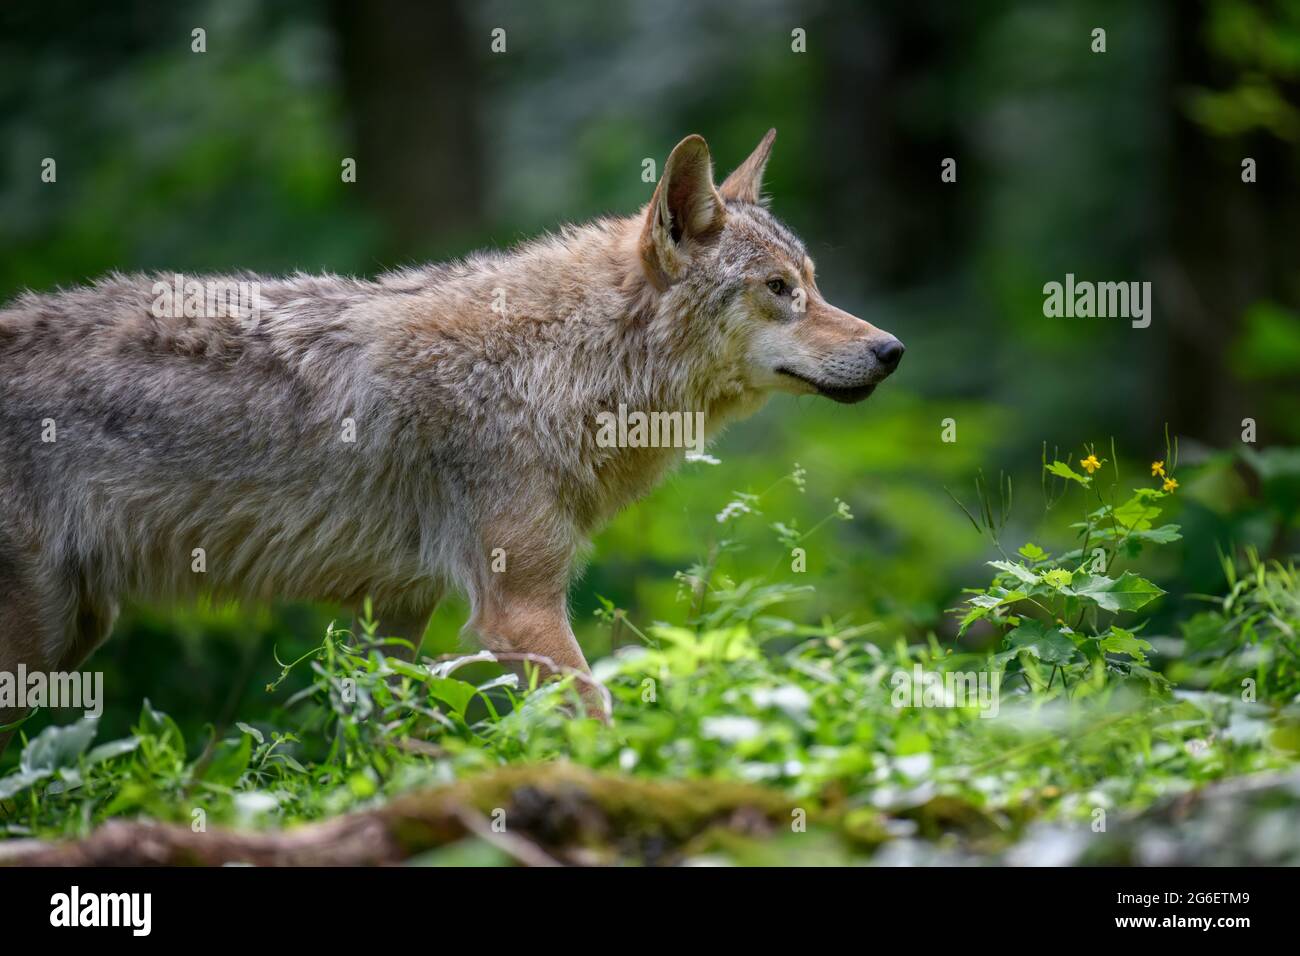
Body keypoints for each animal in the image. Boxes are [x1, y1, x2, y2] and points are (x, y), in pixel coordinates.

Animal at [0, 130, 903, 750]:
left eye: (813, 284)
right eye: (779, 290)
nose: (892, 350)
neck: (562, 364)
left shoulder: (395, 610)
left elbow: (391, 738)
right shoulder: (519, 610)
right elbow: (600, 722)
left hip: (75, 633)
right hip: (38, 645)